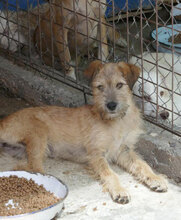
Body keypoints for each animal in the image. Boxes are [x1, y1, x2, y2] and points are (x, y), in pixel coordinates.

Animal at [0, 61, 167, 204]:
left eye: (120, 85)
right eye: (100, 87)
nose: (111, 105)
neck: (116, 121)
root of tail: (3, 121)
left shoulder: (124, 150)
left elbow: (142, 164)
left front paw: (155, 178)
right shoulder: (96, 153)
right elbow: (110, 173)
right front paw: (119, 190)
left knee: (23, 167)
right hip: (38, 133)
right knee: (35, 169)